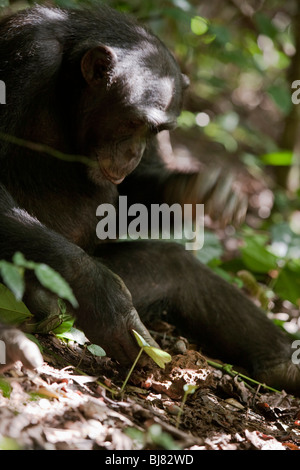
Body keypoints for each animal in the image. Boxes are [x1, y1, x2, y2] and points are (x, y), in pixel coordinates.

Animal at [0, 4, 298, 392]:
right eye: (133, 123)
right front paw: (103, 298)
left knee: (176, 266)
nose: (134, 153)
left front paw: (199, 190)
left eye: (155, 131)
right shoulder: (27, 58)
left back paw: (283, 364)